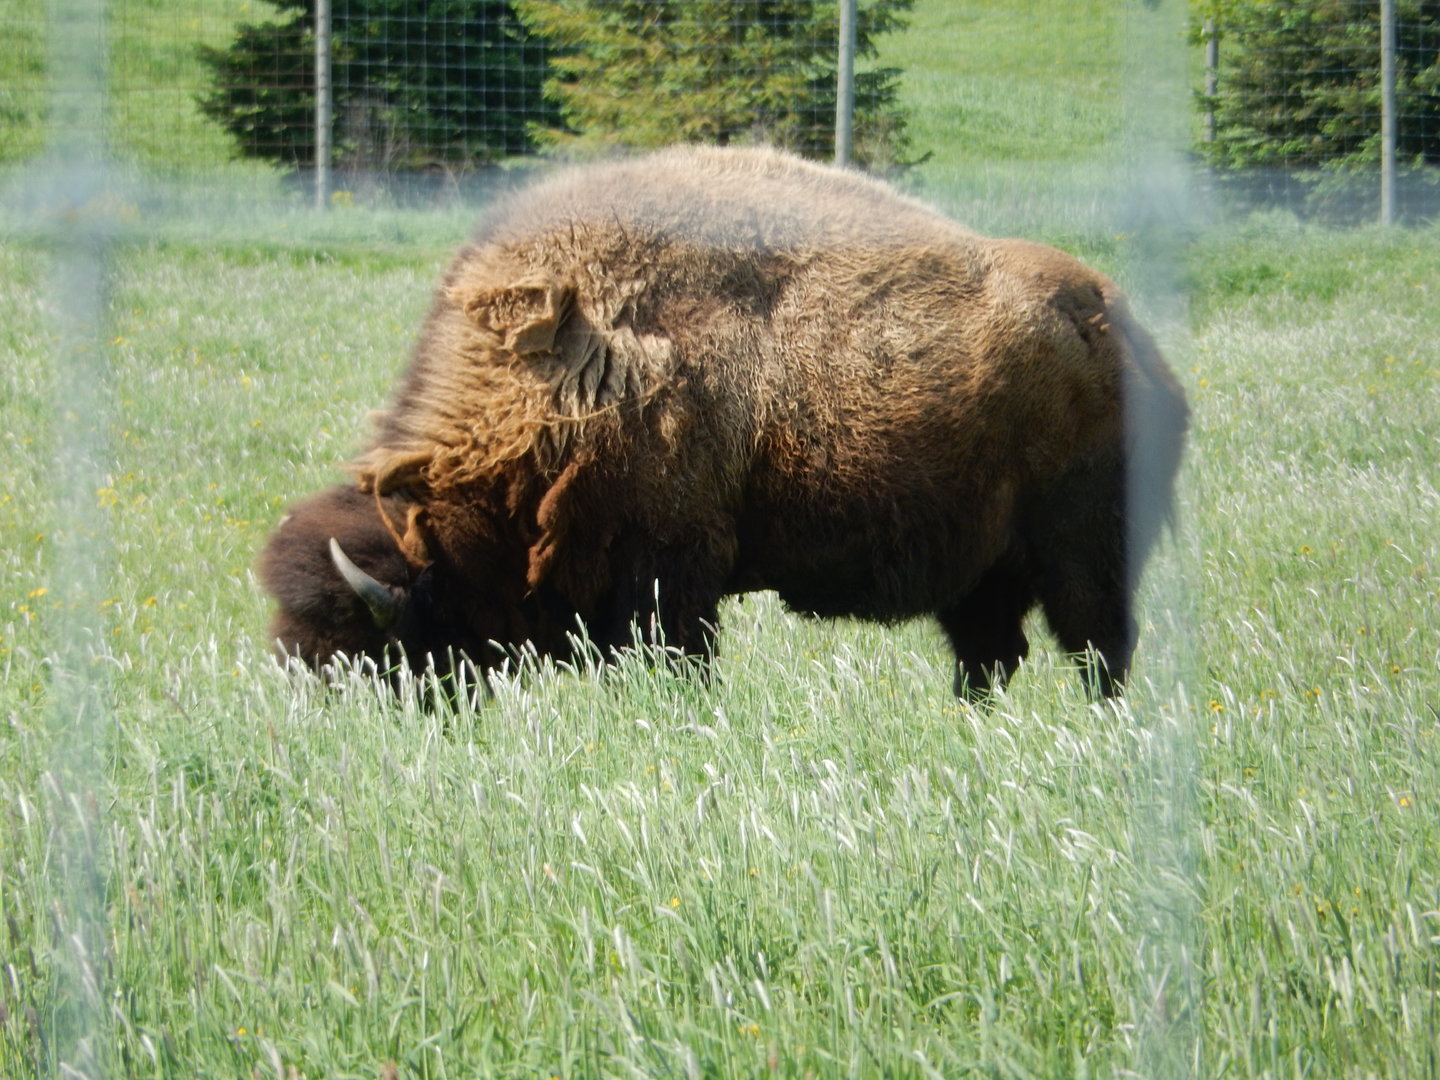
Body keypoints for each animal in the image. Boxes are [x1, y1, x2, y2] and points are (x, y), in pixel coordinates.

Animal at [260, 146, 1187, 699]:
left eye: (367, 650)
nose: (313, 717)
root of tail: (1119, 327)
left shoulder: (670, 571)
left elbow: (678, 658)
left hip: (1081, 552)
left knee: (1097, 646)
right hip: (981, 567)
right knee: (992, 652)